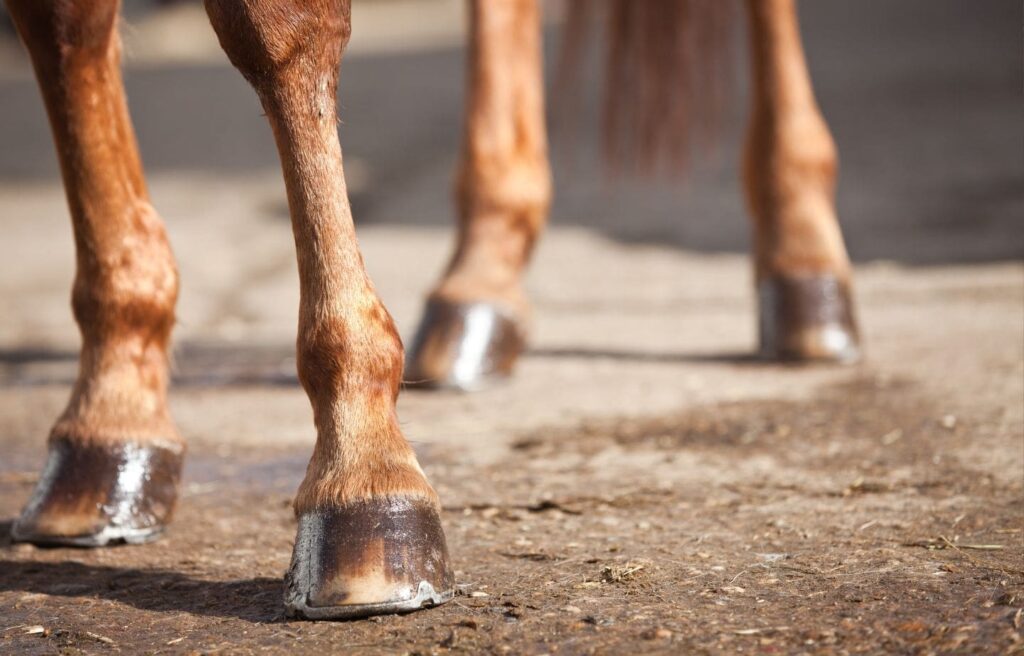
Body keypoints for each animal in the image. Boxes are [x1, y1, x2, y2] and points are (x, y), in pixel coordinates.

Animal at [4, 0, 860, 618]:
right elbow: (62, 23)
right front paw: (112, 418)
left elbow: (275, 25)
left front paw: (362, 467)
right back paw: (481, 281)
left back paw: (806, 266)